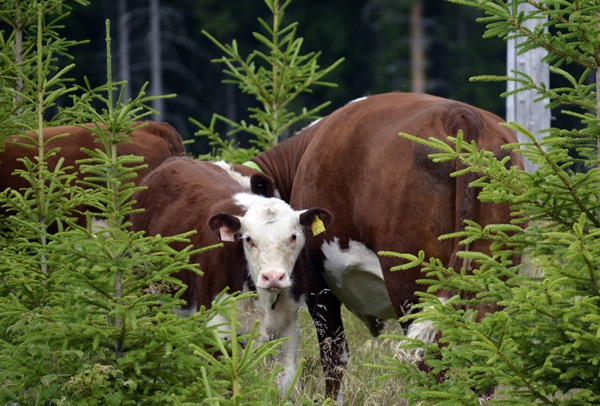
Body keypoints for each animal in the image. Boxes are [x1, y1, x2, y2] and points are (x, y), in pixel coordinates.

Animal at [129, 157, 332, 394]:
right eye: (249, 239)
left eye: (293, 236)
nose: (273, 277)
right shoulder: (216, 326)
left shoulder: (287, 325)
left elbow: (286, 383)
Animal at [232, 93, 524, 402]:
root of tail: (460, 115)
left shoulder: (315, 285)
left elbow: (334, 357)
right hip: (492, 279)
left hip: (412, 283)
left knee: (430, 358)